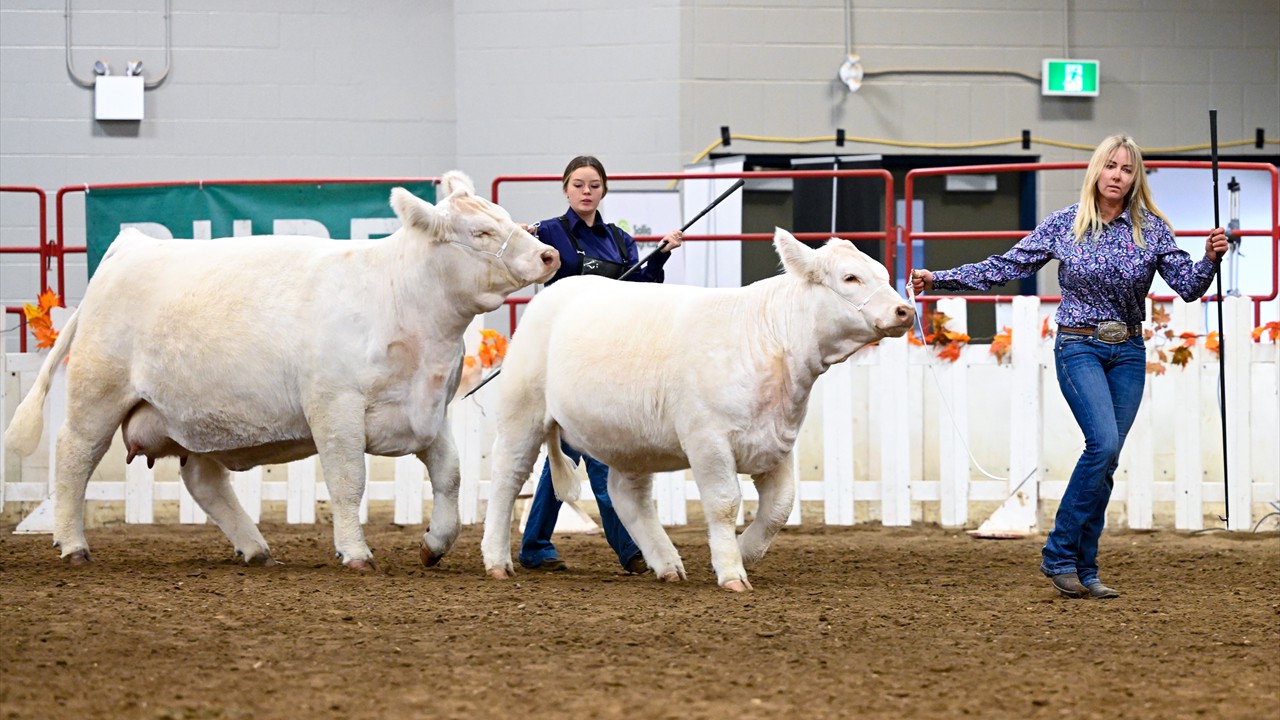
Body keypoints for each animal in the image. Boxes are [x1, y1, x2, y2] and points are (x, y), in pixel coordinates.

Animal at [4, 171, 560, 570]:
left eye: (505, 216)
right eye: (481, 231)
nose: (548, 253)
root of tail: (130, 246)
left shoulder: (430, 412)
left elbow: (450, 476)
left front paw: (434, 543)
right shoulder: (335, 407)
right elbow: (348, 481)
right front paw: (356, 553)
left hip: (190, 418)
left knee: (203, 480)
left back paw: (255, 548)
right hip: (97, 393)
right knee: (73, 456)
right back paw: (72, 545)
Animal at [480, 228, 914, 591]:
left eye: (881, 272)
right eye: (850, 278)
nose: (905, 311)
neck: (767, 342)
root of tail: (553, 292)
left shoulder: (777, 442)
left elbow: (779, 508)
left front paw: (745, 552)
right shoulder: (708, 440)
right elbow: (724, 503)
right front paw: (732, 571)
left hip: (629, 439)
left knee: (627, 495)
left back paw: (666, 563)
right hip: (522, 411)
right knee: (507, 477)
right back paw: (497, 561)